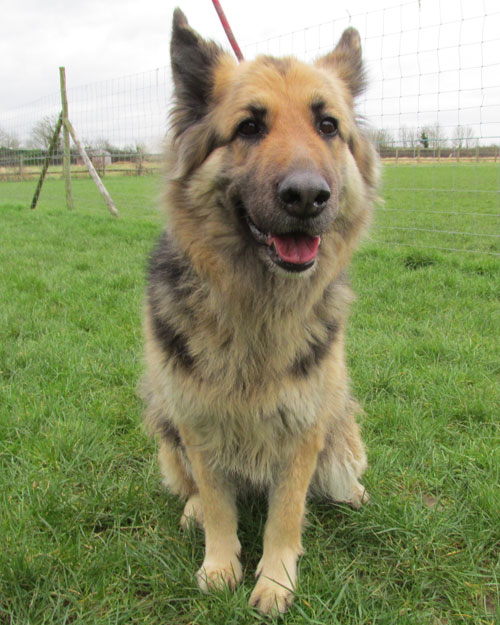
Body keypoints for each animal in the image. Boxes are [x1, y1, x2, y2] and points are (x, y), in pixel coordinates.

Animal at [143, 9, 380, 616]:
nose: (307, 196)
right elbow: (219, 504)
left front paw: (275, 582)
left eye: (328, 126)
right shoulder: (197, 420)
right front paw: (220, 565)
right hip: (163, 413)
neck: (258, 304)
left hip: (337, 421)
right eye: (249, 127)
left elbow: (285, 515)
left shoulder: (302, 428)